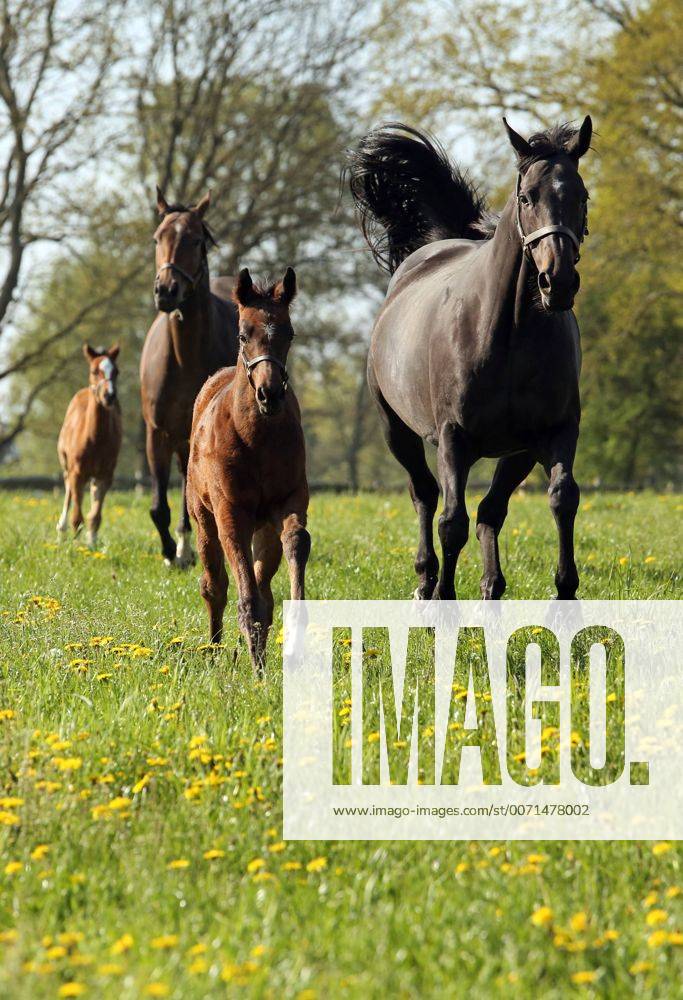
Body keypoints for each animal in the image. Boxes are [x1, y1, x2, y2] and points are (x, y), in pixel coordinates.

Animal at [57, 344, 122, 547]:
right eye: (94, 371)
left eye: (116, 371)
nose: (109, 396)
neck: (95, 438)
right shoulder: (76, 472)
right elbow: (77, 516)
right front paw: (76, 546)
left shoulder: (105, 475)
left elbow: (95, 516)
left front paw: (91, 544)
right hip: (67, 466)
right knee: (69, 492)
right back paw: (61, 530)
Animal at [140, 188, 239, 566]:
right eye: (158, 237)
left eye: (196, 240)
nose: (166, 290)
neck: (184, 357)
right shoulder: (157, 432)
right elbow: (158, 508)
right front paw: (170, 551)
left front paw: (180, 548)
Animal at [187, 266, 310, 673]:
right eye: (244, 334)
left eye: (289, 332)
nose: (270, 394)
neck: (257, 439)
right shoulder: (230, 512)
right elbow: (242, 591)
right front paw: (257, 669)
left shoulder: (290, 500)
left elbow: (297, 541)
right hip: (202, 517)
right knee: (214, 584)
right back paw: (214, 650)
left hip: (264, 526)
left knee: (262, 583)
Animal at [348, 116, 593, 600]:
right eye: (526, 197)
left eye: (582, 196)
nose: (557, 281)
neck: (508, 335)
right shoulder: (454, 438)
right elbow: (451, 522)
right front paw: (444, 597)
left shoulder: (553, 433)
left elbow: (562, 498)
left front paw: (565, 593)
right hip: (397, 431)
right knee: (425, 495)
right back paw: (426, 580)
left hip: (516, 453)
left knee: (489, 511)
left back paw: (492, 587)